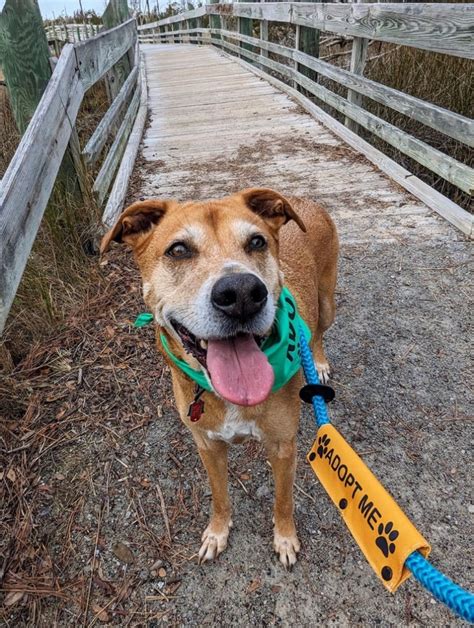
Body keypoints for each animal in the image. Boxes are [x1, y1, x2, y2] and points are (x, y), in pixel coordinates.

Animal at [101, 189, 336, 568]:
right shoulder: (207, 446)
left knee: (317, 332)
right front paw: (217, 532)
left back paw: (318, 360)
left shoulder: (283, 448)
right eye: (178, 250)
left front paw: (285, 538)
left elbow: (283, 501)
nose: (241, 293)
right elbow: (219, 496)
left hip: (327, 303)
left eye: (256, 242)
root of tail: (304, 200)